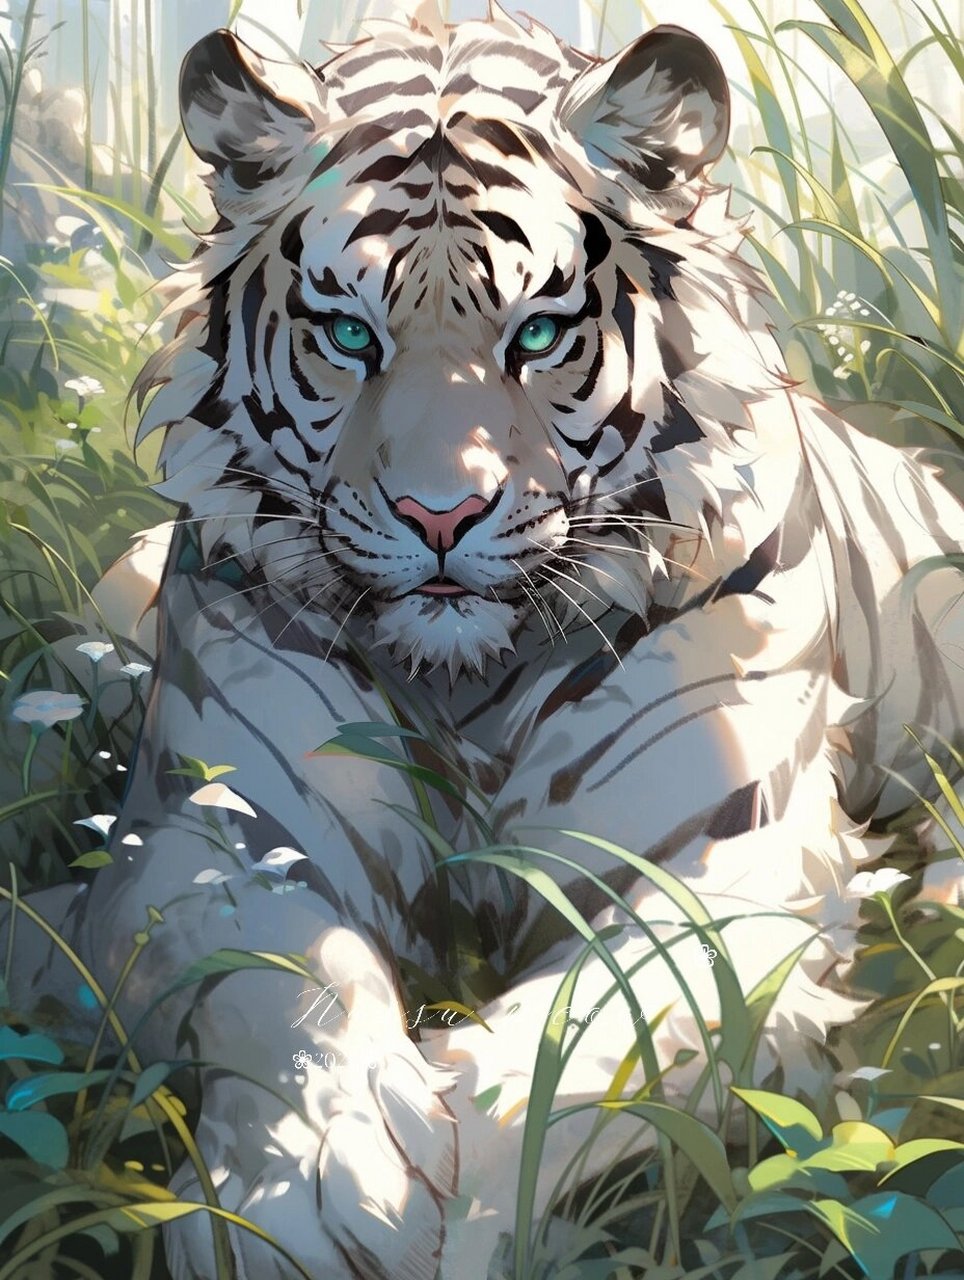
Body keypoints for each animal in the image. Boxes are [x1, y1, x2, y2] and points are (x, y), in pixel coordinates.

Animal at [9, 4, 964, 1279]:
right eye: (348, 333)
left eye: (542, 332)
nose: (439, 515)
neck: (466, 680)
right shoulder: (215, 833)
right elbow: (290, 981)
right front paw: (312, 1182)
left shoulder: (729, 856)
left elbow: (600, 1018)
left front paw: (457, 1210)